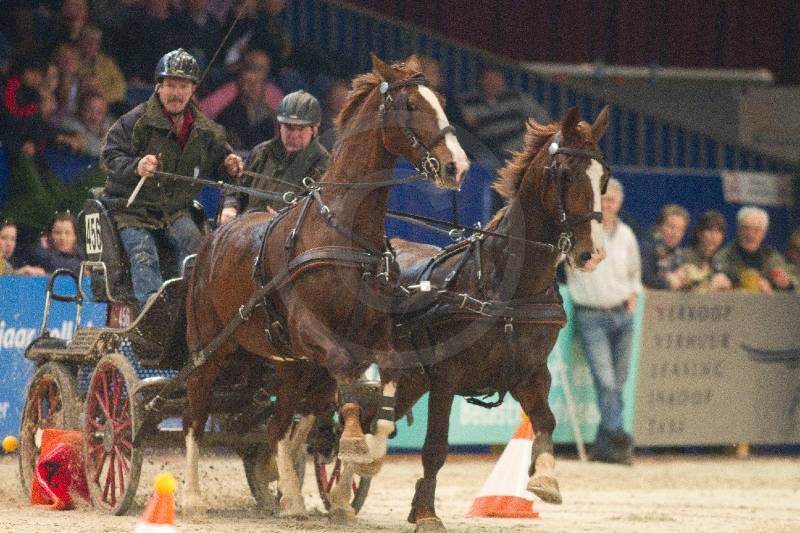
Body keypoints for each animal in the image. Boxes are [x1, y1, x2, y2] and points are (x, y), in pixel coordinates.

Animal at [180, 54, 469, 517]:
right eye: (410, 105)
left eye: (440, 102)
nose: (457, 166)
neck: (344, 235)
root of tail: (214, 238)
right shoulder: (313, 332)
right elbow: (346, 376)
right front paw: (351, 443)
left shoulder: (372, 336)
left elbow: (385, 384)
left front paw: (365, 456)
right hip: (209, 346)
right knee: (194, 413)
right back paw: (192, 498)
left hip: (290, 363)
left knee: (278, 425)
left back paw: (292, 498)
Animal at [380, 106, 609, 531]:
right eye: (565, 174)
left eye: (604, 177)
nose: (593, 254)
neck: (505, 290)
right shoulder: (445, 377)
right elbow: (435, 447)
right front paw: (427, 513)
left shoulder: (531, 374)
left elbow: (546, 421)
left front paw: (545, 479)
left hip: (410, 378)